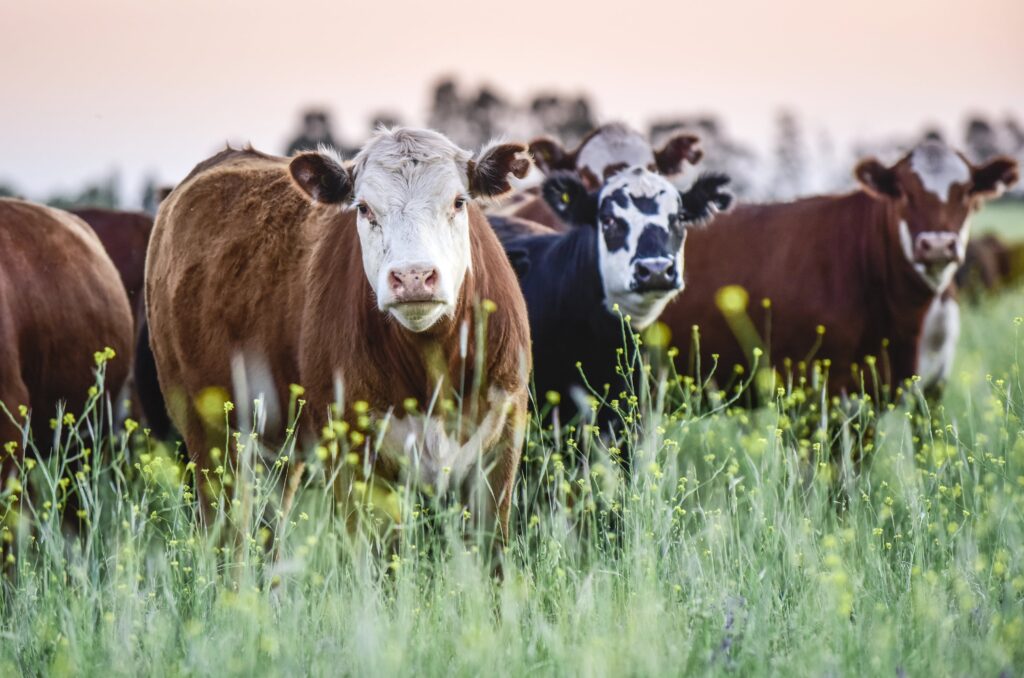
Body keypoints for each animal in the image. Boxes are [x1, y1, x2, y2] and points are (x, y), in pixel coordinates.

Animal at [144, 128, 533, 543]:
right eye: (363, 208)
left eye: (459, 201)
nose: (413, 276)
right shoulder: (352, 456)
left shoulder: (501, 449)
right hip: (209, 437)